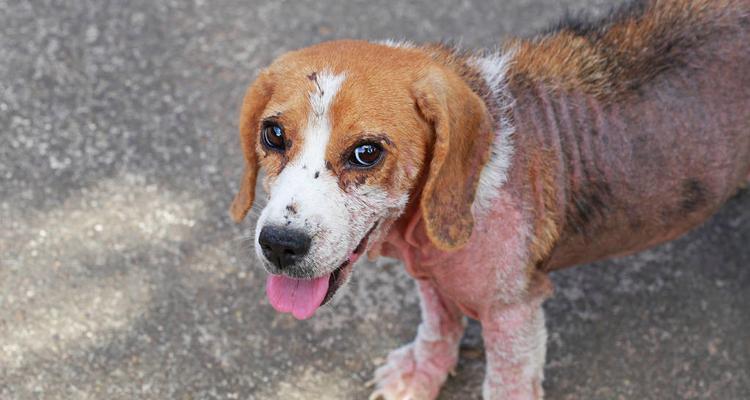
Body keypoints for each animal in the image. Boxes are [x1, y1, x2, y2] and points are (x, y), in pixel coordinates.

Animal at [229, 1, 750, 398]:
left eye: (366, 152)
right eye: (274, 134)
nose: (280, 244)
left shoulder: (513, 313)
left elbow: (506, 382)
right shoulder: (432, 275)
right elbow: (438, 326)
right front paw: (422, 374)